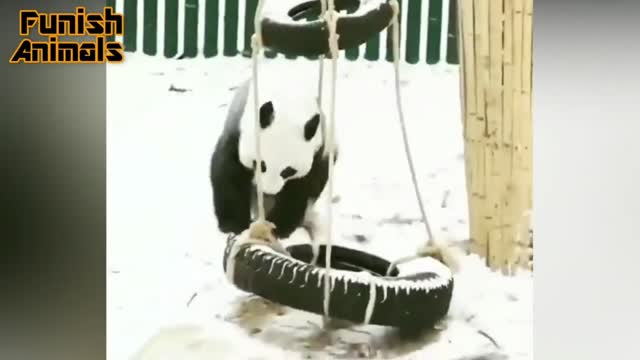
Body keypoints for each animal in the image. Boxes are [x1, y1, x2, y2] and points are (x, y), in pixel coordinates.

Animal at [211, 74, 340, 240]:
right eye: (261, 164)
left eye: (288, 171)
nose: (268, 192)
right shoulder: (238, 131)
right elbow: (229, 173)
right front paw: (234, 224)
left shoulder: (317, 147)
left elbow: (300, 186)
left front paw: (279, 226)